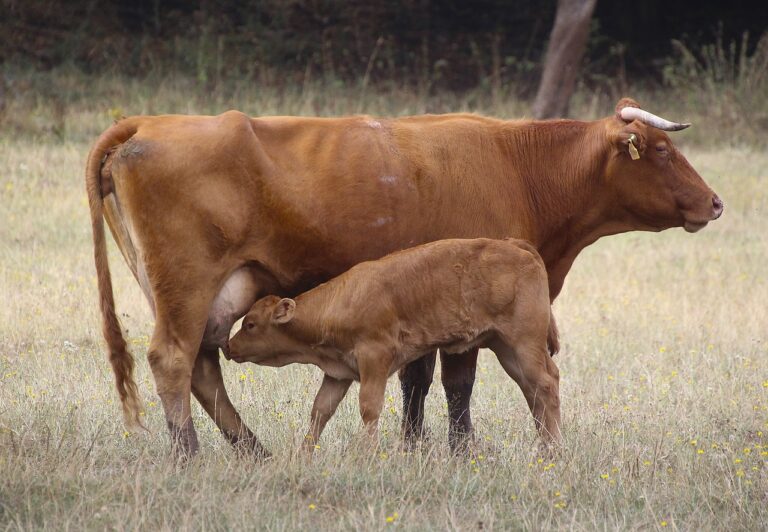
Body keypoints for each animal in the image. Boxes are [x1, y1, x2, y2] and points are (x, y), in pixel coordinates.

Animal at [225, 239, 560, 450]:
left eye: (250, 324)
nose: (229, 347)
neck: (339, 302)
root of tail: (517, 246)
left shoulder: (375, 359)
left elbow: (369, 408)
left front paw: (369, 455)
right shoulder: (338, 373)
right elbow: (320, 411)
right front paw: (303, 455)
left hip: (522, 343)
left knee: (544, 385)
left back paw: (554, 448)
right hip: (506, 348)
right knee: (535, 388)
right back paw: (545, 446)